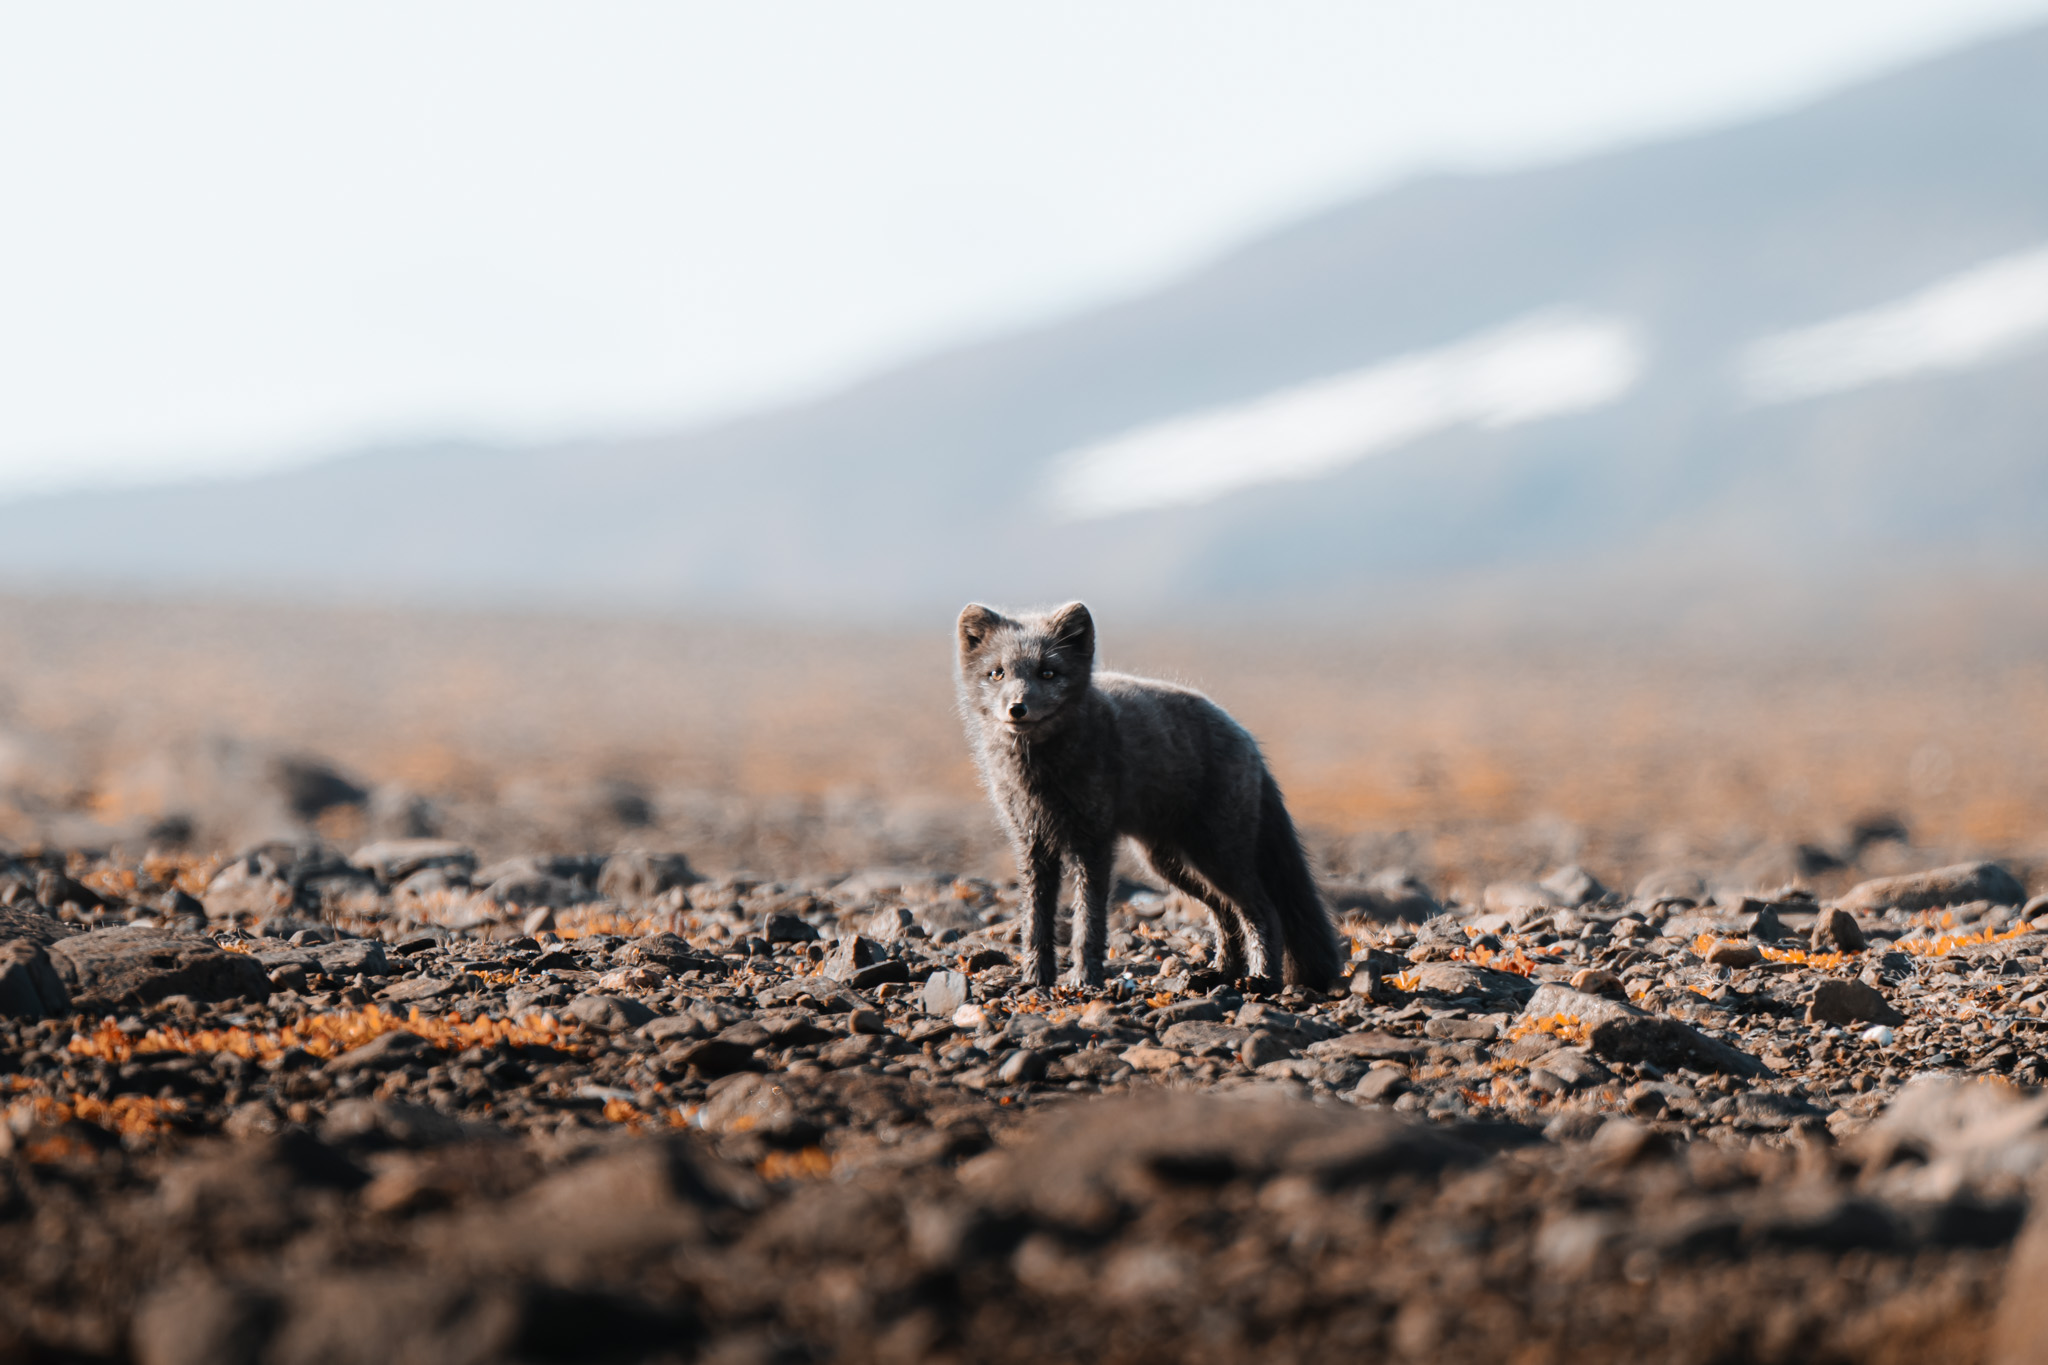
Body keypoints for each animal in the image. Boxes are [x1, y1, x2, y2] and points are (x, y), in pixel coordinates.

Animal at [955, 600, 1347, 992]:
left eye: (1048, 673)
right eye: (997, 674)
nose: (1017, 708)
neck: (1039, 774)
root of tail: (1246, 737)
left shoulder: (1093, 842)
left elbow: (1089, 922)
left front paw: (1085, 979)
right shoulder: (1032, 843)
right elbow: (1035, 921)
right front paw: (1035, 979)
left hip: (1217, 854)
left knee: (1262, 909)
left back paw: (1262, 979)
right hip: (1168, 862)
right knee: (1224, 912)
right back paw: (1220, 973)